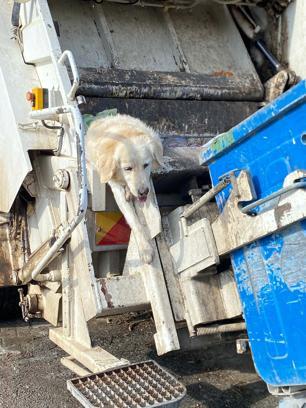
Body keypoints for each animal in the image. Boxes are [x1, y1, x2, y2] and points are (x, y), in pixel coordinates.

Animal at [86, 114, 163, 264]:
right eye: (127, 168)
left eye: (146, 165)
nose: (143, 192)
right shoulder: (115, 185)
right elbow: (134, 220)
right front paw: (145, 249)